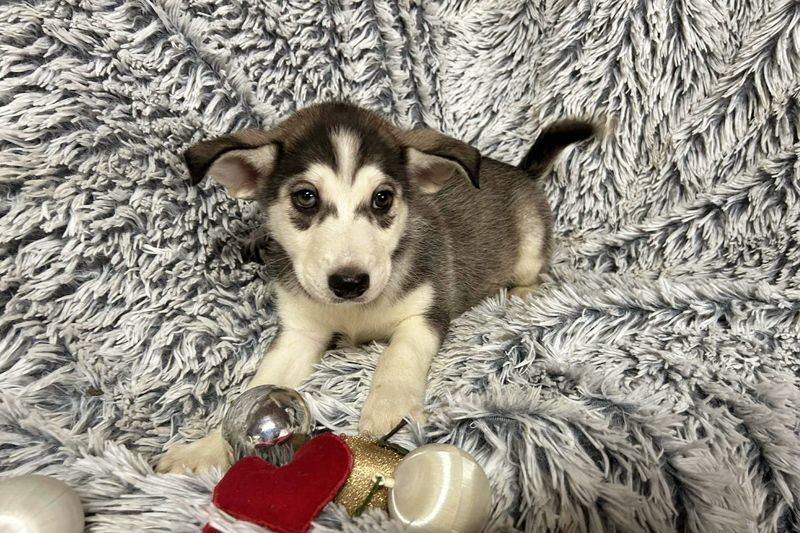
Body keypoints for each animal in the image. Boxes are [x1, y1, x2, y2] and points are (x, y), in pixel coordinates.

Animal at [156, 102, 598, 473]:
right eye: (305, 197)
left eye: (382, 198)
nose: (350, 282)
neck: (353, 313)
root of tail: (519, 171)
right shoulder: (299, 333)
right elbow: (255, 389)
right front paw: (207, 449)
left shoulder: (426, 313)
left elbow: (398, 357)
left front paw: (389, 406)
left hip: (529, 248)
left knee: (532, 269)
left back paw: (523, 293)